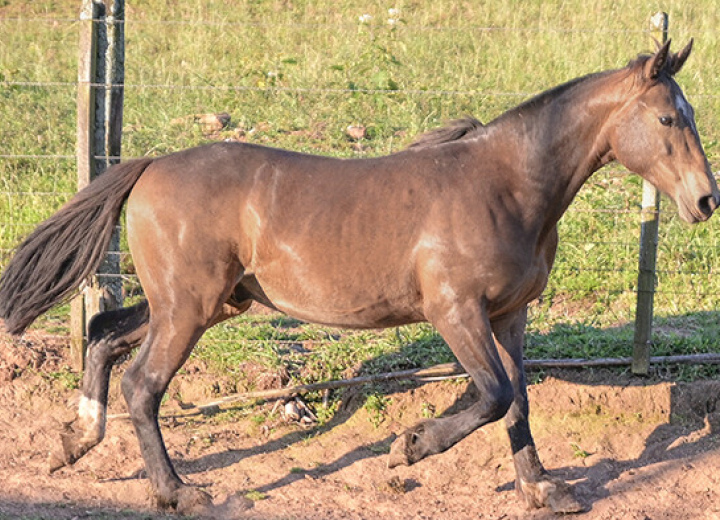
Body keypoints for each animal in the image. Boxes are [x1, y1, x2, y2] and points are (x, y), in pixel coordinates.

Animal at [0, 39, 716, 512]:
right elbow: (492, 395)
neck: (508, 187)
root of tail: (151, 164)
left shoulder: (511, 314)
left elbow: (518, 397)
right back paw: (181, 492)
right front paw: (410, 447)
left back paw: (75, 441)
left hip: (201, 302)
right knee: (142, 384)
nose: (707, 200)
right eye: (667, 118)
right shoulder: (455, 311)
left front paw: (543, 488)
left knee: (101, 334)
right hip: (189, 308)